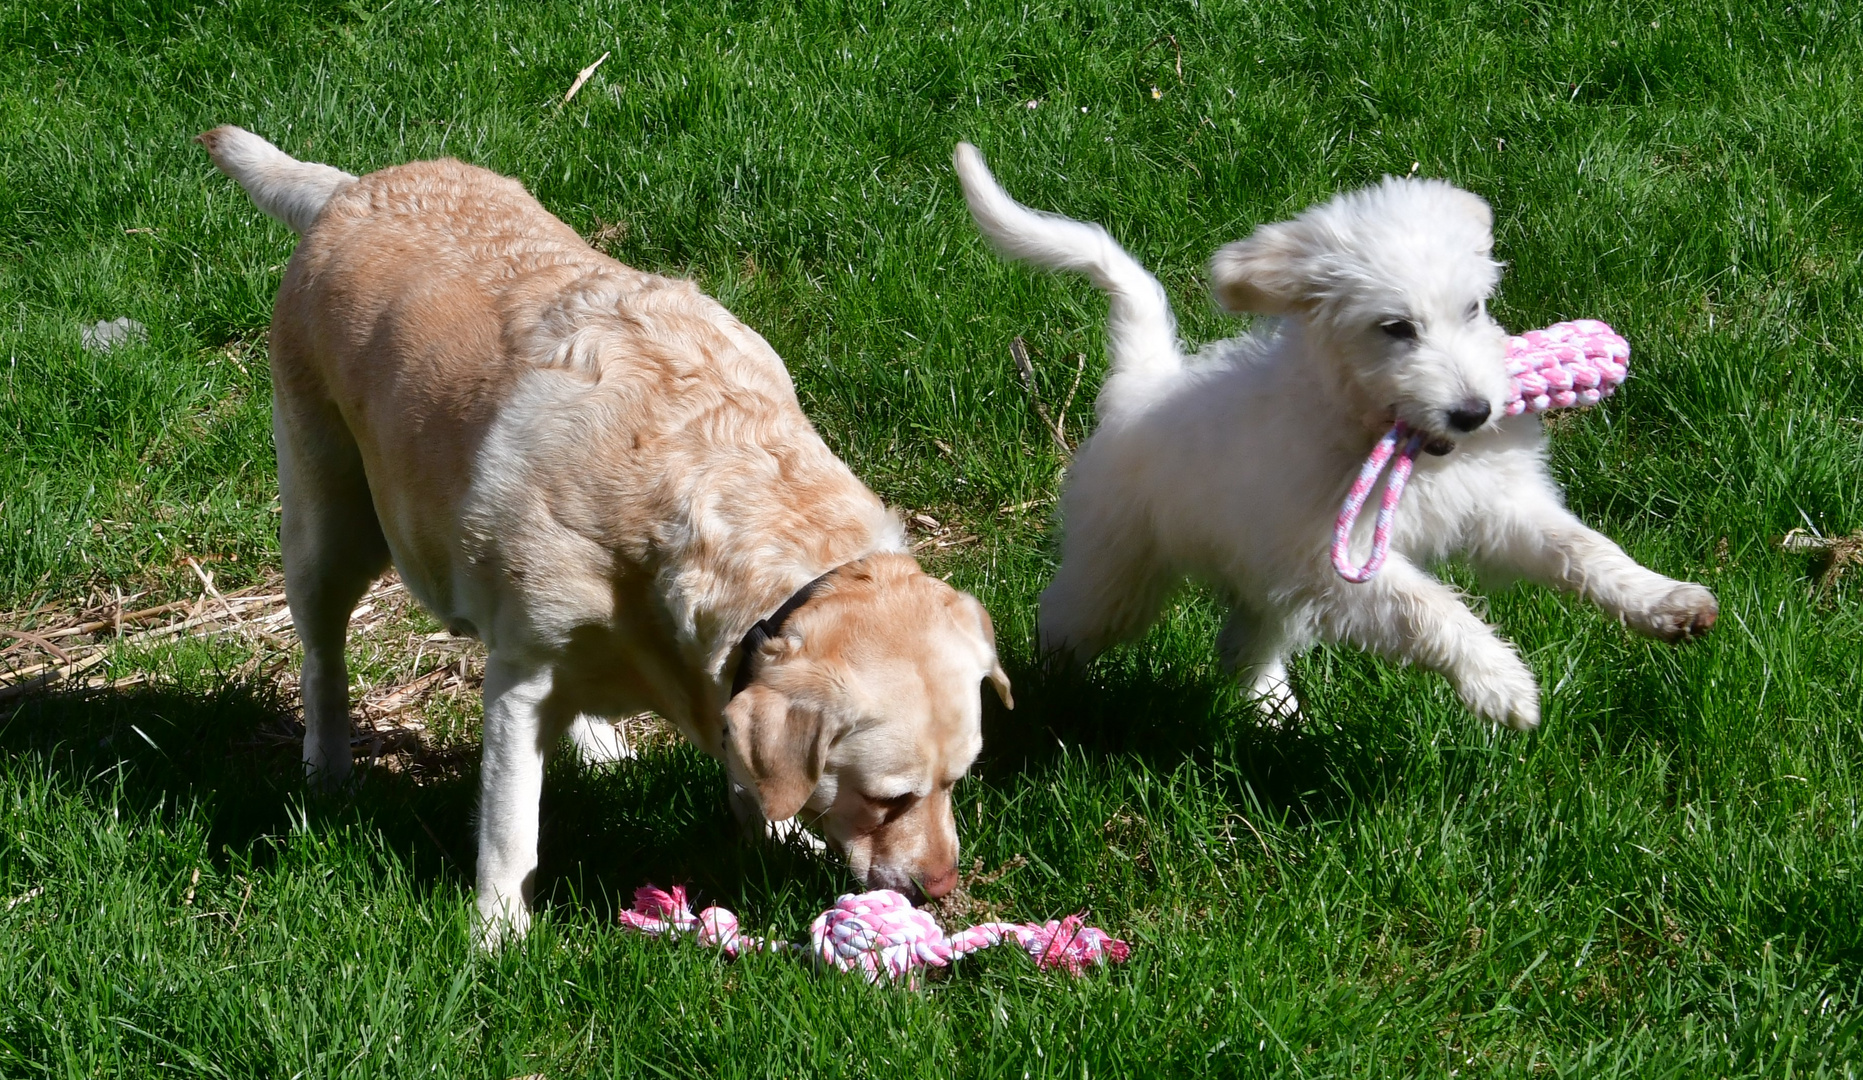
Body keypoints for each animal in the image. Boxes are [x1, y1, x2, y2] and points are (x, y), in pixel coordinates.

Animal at [198, 128, 1013, 945]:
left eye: (960, 779)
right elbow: (509, 829)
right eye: (887, 798)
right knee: (322, 658)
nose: (942, 887)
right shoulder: (519, 680)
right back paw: (328, 771)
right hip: (330, 523)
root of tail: (350, 188)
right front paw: (496, 936)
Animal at [961, 143, 1713, 729]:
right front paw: (1500, 682)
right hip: (1119, 572)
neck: (1396, 439)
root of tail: (1142, 383)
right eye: (1395, 328)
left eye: (1472, 308)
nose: (1475, 413)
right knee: (1065, 619)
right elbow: (1427, 607)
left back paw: (1270, 708)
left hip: (1260, 571)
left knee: (1245, 640)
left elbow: (1583, 549)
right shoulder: (1333, 558)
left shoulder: (1498, 510)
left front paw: (1665, 602)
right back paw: (1042, 697)